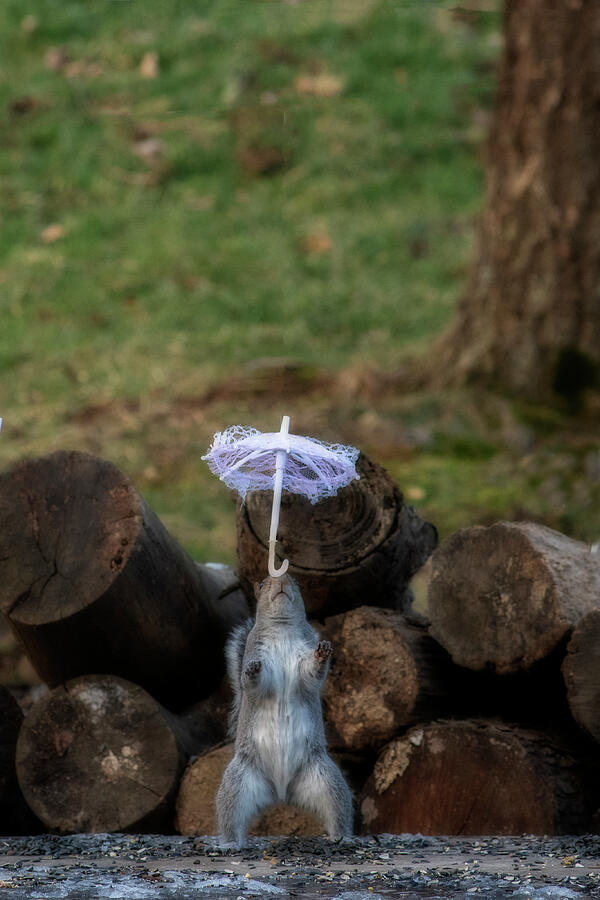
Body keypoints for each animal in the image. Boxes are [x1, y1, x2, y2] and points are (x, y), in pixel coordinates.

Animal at [216, 573, 353, 847]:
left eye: (297, 581)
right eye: (260, 584)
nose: (279, 579)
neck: (282, 629)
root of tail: (281, 791)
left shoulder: (303, 660)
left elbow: (311, 673)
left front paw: (322, 654)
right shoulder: (256, 652)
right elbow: (255, 683)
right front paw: (252, 671)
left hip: (327, 782)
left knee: (337, 810)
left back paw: (342, 837)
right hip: (237, 785)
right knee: (231, 818)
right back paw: (229, 844)